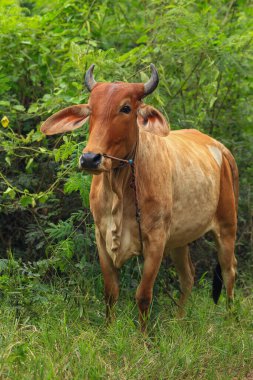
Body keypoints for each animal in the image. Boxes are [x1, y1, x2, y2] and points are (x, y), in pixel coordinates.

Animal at [40, 63, 238, 332]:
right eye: (91, 109)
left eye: (125, 108)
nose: (90, 158)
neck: (119, 188)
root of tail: (219, 147)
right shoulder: (101, 236)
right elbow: (110, 292)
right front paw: (109, 330)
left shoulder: (155, 240)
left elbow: (143, 295)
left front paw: (143, 337)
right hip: (179, 239)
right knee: (188, 277)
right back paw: (179, 322)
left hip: (227, 228)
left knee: (229, 273)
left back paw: (230, 321)